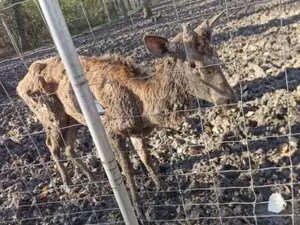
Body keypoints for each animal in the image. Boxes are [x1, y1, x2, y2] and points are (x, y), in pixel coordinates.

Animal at [16, 12, 237, 220]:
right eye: (192, 64)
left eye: (215, 53)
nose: (229, 98)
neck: (143, 105)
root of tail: (20, 84)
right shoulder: (113, 130)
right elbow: (127, 170)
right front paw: (139, 211)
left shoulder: (137, 130)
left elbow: (146, 158)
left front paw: (162, 186)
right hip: (51, 116)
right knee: (51, 146)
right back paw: (69, 184)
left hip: (73, 118)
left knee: (69, 148)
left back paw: (95, 178)